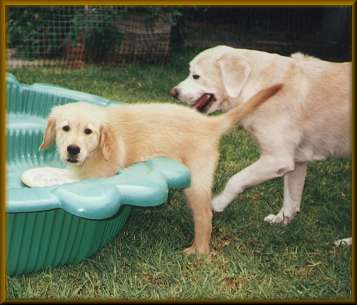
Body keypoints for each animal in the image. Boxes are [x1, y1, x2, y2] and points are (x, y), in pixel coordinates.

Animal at [39, 83, 280, 254]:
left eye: (88, 131)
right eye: (65, 128)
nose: (73, 149)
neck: (96, 151)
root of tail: (208, 123)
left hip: (196, 179)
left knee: (204, 215)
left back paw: (199, 251)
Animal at [171, 44, 352, 245]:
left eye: (195, 76)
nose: (173, 92)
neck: (257, 85)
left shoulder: (277, 159)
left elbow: (235, 180)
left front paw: (217, 203)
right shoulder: (296, 162)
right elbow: (291, 198)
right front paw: (281, 220)